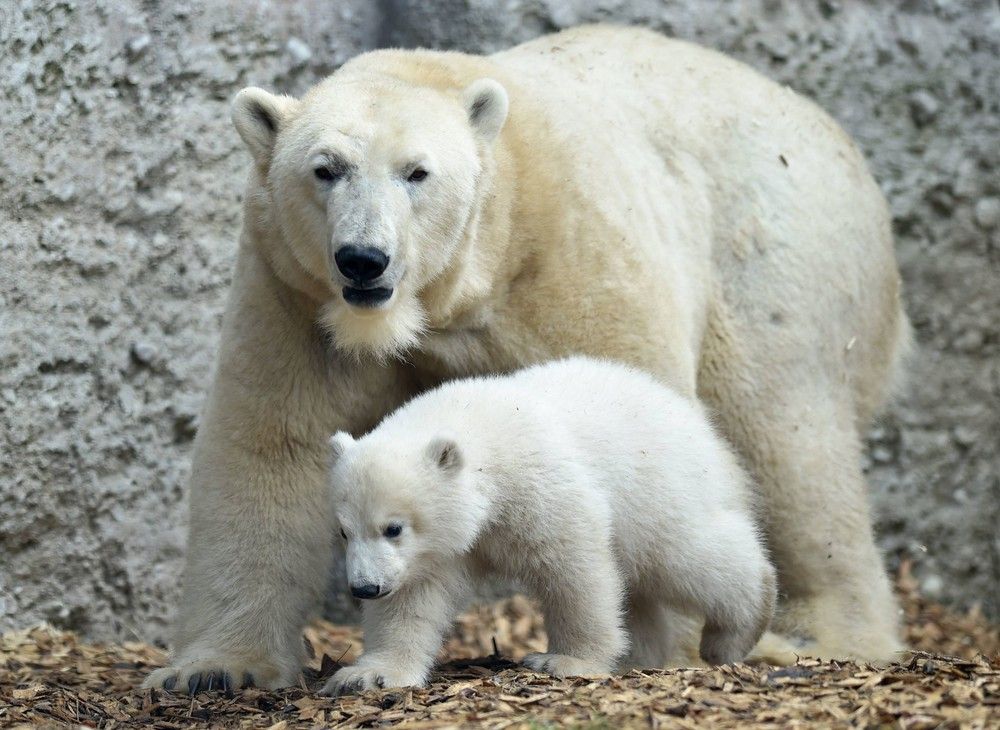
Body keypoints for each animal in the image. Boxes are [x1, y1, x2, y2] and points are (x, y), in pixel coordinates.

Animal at [146, 25, 908, 692]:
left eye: (417, 173)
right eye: (325, 170)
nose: (364, 259)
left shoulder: (568, 258)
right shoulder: (296, 294)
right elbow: (273, 447)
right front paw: (213, 669)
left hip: (774, 254)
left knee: (787, 437)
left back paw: (813, 633)